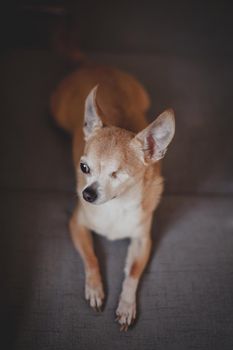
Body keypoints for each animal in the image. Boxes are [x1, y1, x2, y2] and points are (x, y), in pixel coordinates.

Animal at [51, 63, 175, 330]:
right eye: (84, 168)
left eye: (118, 175)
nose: (87, 193)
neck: (116, 207)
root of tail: (90, 65)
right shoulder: (76, 225)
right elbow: (91, 258)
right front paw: (95, 289)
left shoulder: (142, 240)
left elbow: (133, 274)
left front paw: (126, 306)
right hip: (57, 111)